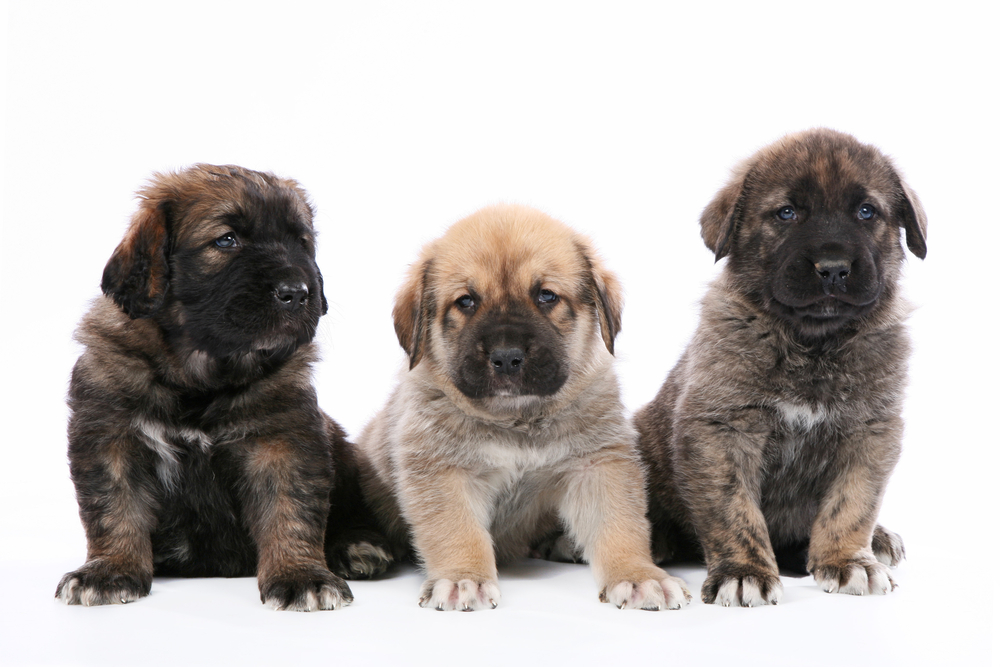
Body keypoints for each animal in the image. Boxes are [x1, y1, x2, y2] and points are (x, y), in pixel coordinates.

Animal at [57, 163, 356, 612]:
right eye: (226, 240)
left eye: (301, 243)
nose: (298, 293)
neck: (201, 375)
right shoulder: (110, 435)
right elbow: (113, 507)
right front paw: (109, 571)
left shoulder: (283, 440)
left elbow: (291, 509)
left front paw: (301, 575)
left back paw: (360, 548)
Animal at [356, 206, 692, 612]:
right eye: (466, 302)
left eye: (546, 296)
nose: (506, 357)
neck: (517, 421)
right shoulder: (442, 470)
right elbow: (456, 529)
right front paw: (463, 576)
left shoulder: (598, 464)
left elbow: (619, 525)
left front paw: (639, 574)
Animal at [636, 128, 924, 608]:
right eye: (786, 213)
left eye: (866, 211)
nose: (833, 269)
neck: (811, 345)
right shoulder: (722, 430)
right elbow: (734, 511)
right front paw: (744, 571)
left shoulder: (870, 430)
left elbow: (852, 503)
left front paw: (847, 560)